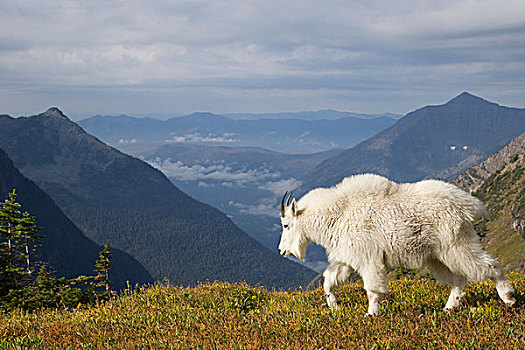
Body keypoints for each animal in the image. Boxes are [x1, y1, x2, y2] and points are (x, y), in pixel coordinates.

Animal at [278, 174, 516, 314]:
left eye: (286, 225)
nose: (282, 251)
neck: (338, 214)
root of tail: (468, 205)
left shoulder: (368, 258)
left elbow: (372, 288)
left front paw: (371, 313)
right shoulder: (347, 258)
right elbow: (329, 281)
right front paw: (335, 306)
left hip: (456, 245)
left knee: (489, 266)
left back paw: (509, 297)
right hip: (437, 256)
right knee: (459, 279)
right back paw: (448, 308)